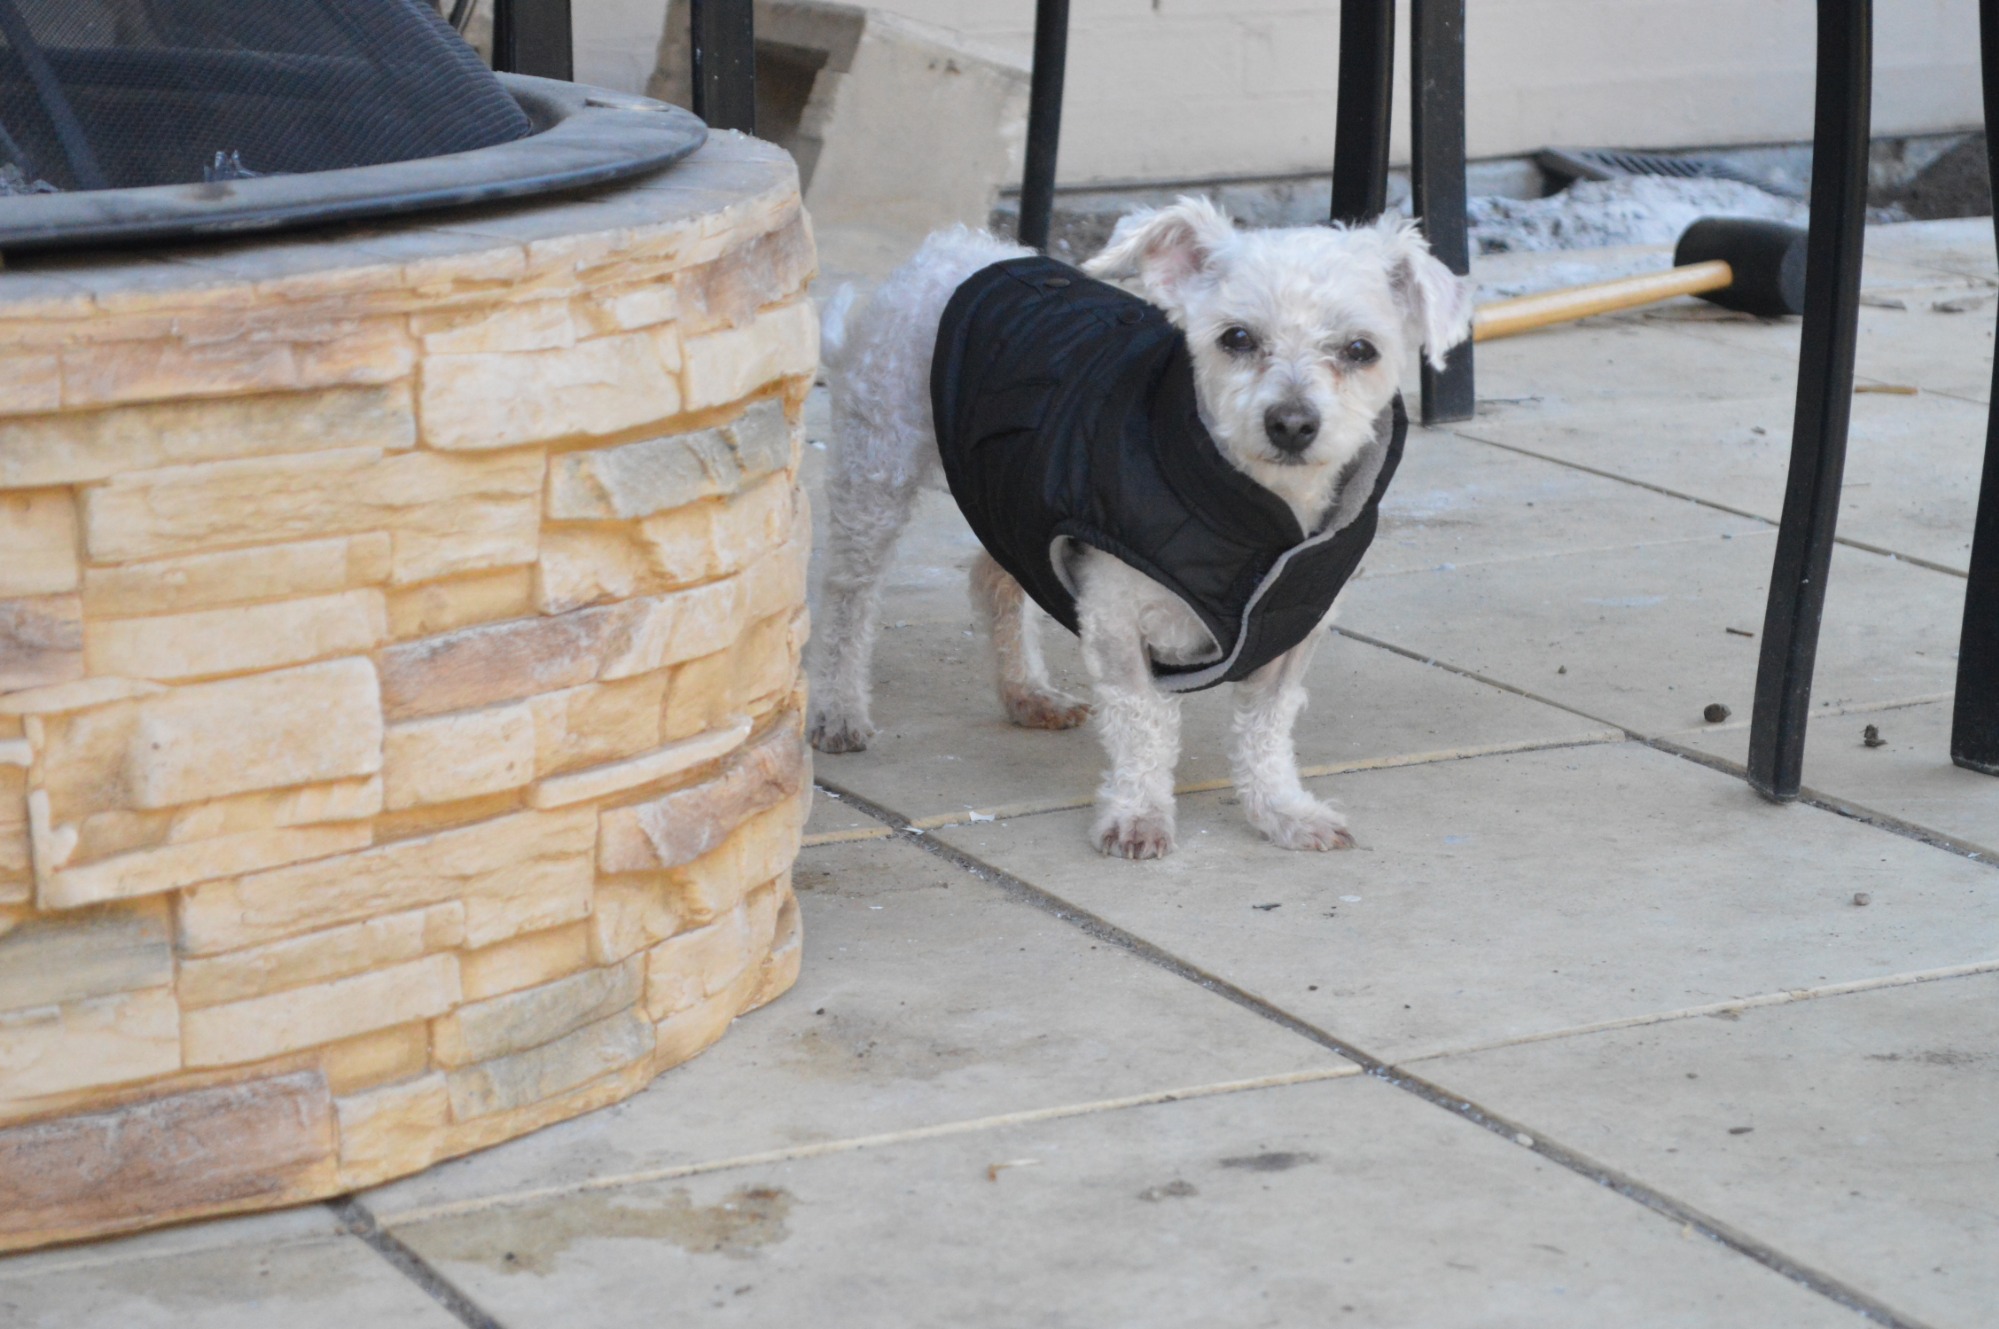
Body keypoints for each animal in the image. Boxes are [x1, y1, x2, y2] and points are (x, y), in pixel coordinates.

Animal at [809, 197, 1474, 858]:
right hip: (878, 465)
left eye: (1361, 350)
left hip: (1007, 492)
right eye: (1236, 337)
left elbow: (1267, 725)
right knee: (847, 598)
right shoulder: (1116, 614)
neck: (1257, 519)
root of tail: (949, 248)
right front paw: (1138, 814)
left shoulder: (1293, 626)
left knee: (993, 578)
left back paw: (1025, 691)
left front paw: (1279, 809)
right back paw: (837, 708)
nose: (1290, 423)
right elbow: (1143, 720)